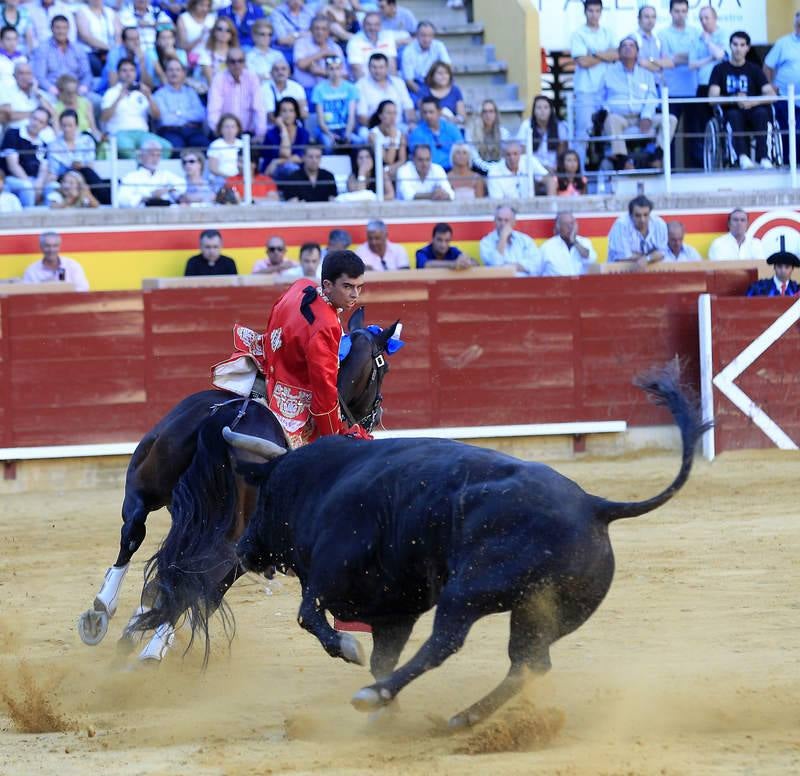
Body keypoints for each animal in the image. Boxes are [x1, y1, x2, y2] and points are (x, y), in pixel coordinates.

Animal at [78, 308, 400, 660]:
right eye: (383, 370)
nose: (376, 414)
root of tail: (226, 420)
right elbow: (203, 593)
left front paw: (138, 626)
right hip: (232, 538)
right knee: (194, 575)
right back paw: (149, 651)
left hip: (145, 482)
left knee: (134, 532)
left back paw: (101, 614)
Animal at [228, 364, 708, 728]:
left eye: (263, 497)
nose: (242, 550)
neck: (321, 481)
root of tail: (595, 506)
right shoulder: (394, 611)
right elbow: (381, 657)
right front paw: (388, 713)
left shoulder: (331, 575)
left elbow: (310, 617)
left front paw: (357, 663)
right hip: (542, 610)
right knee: (529, 663)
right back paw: (463, 717)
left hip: (469, 591)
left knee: (446, 642)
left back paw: (375, 697)